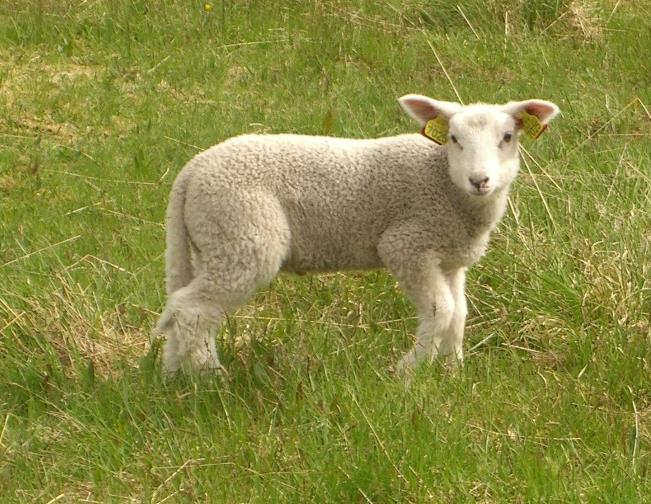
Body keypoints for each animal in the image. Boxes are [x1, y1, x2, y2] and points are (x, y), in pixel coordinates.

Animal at [154, 94, 560, 374]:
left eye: (507, 137)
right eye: (454, 138)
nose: (480, 180)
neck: (446, 185)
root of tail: (192, 170)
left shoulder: (450, 259)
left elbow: (458, 314)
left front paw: (451, 373)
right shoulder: (407, 244)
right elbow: (441, 309)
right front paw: (408, 372)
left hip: (212, 241)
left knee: (187, 308)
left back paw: (176, 375)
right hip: (243, 235)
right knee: (192, 310)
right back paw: (209, 379)